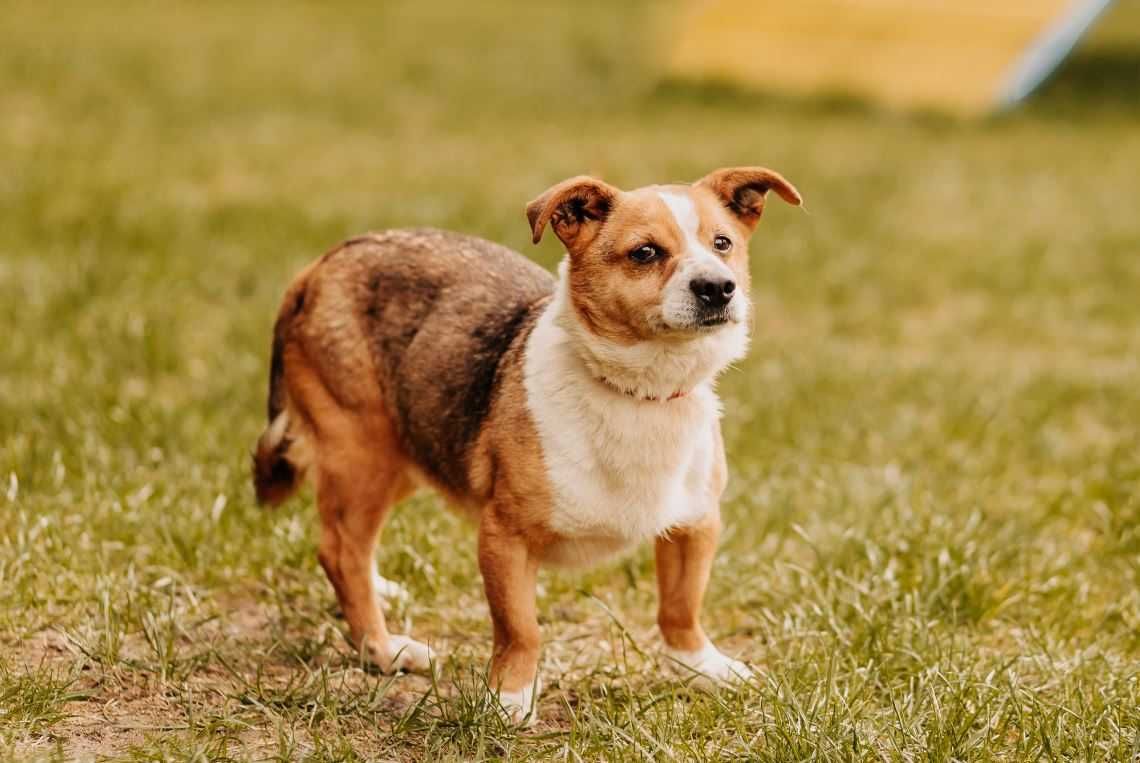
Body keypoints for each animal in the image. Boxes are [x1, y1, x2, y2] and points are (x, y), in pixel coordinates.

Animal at [251, 165, 802, 720]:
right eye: (645, 252)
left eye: (722, 243)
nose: (718, 287)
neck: (640, 394)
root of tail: (321, 264)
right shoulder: (504, 537)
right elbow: (520, 629)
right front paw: (510, 695)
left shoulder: (696, 523)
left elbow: (681, 608)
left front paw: (701, 666)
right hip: (363, 455)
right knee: (341, 551)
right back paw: (382, 649)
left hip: (409, 447)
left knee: (356, 546)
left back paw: (381, 592)